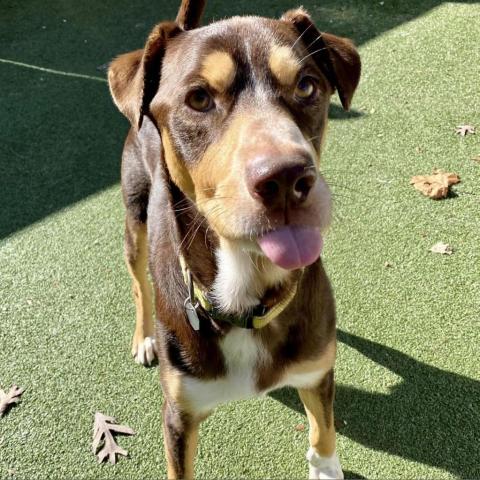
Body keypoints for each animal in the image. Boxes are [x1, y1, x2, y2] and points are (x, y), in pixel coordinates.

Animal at [107, 1, 358, 478]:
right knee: (138, 283)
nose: (285, 179)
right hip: (135, 218)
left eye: (306, 85)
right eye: (199, 98)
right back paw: (144, 337)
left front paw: (325, 467)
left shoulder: (318, 372)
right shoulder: (179, 413)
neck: (247, 295)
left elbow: (323, 434)